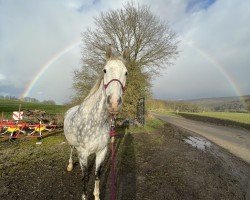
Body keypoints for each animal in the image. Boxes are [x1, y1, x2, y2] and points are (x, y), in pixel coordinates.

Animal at [63, 45, 128, 200]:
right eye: (105, 70)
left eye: (126, 73)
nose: (114, 103)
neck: (95, 121)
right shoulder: (83, 153)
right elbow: (85, 177)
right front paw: (84, 196)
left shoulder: (102, 151)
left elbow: (97, 174)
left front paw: (97, 195)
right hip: (72, 143)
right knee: (71, 150)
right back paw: (69, 165)